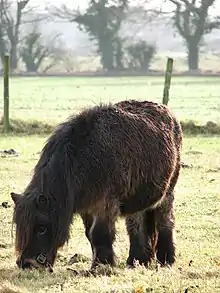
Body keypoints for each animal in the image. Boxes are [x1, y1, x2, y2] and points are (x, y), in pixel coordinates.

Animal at [10, 99, 182, 270]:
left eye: (41, 228)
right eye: (19, 226)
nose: (27, 264)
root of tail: (169, 113)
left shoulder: (105, 204)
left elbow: (99, 234)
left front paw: (101, 266)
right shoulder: (86, 208)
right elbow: (90, 235)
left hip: (167, 193)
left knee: (165, 222)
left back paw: (166, 259)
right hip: (138, 198)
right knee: (137, 225)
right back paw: (137, 260)